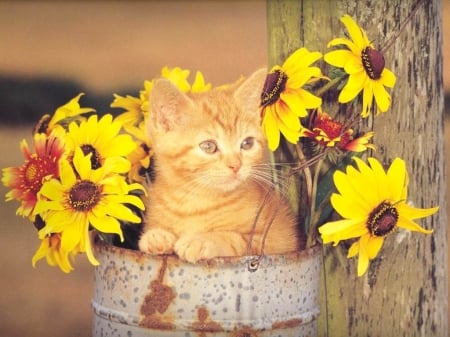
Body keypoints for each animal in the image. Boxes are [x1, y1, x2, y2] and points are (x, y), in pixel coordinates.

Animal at [137, 69, 298, 262]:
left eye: (247, 144)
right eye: (208, 146)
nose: (235, 166)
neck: (195, 201)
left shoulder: (275, 241)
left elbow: (237, 239)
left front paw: (201, 240)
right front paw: (156, 236)